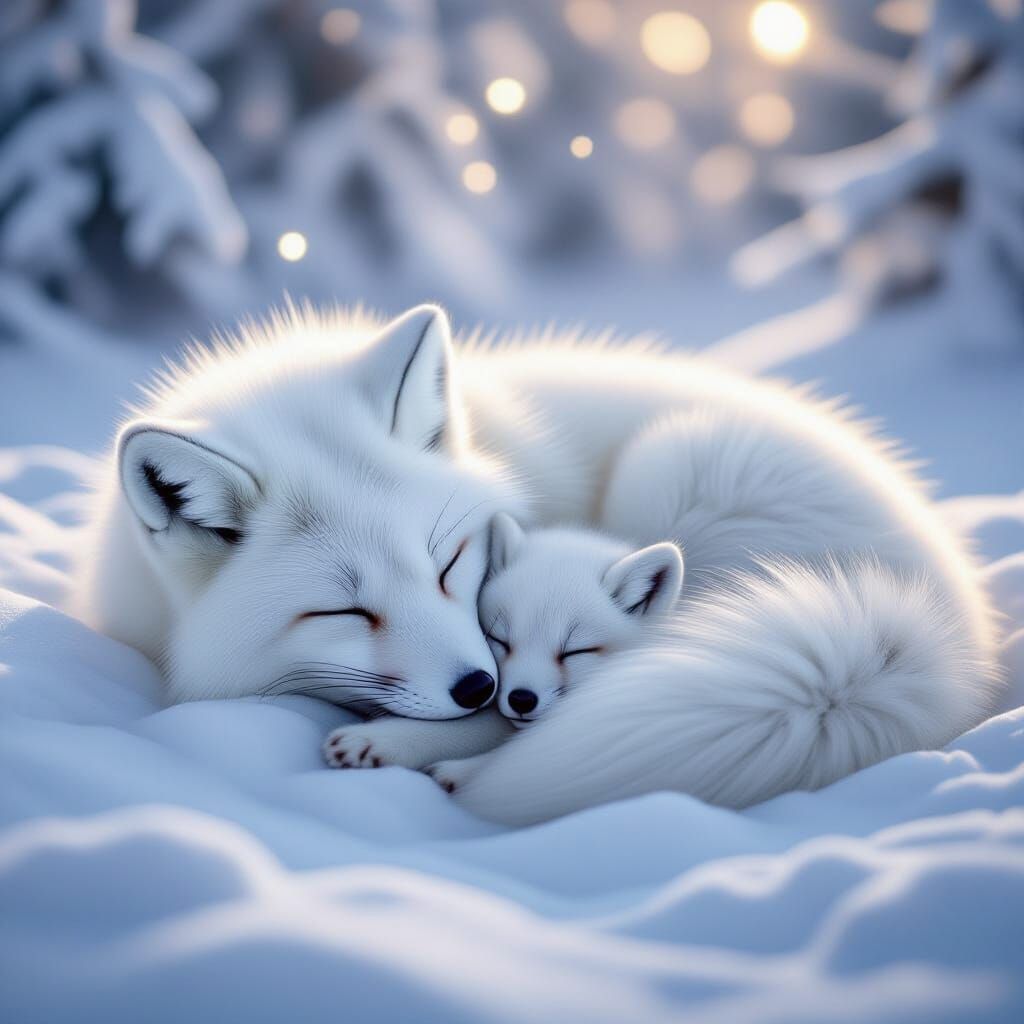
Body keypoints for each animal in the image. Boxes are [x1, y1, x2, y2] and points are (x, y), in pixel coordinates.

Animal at [72, 302, 1001, 823]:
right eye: (345, 611)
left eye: (449, 564)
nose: (478, 685)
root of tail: (948, 630)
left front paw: (406, 740)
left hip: (670, 469)